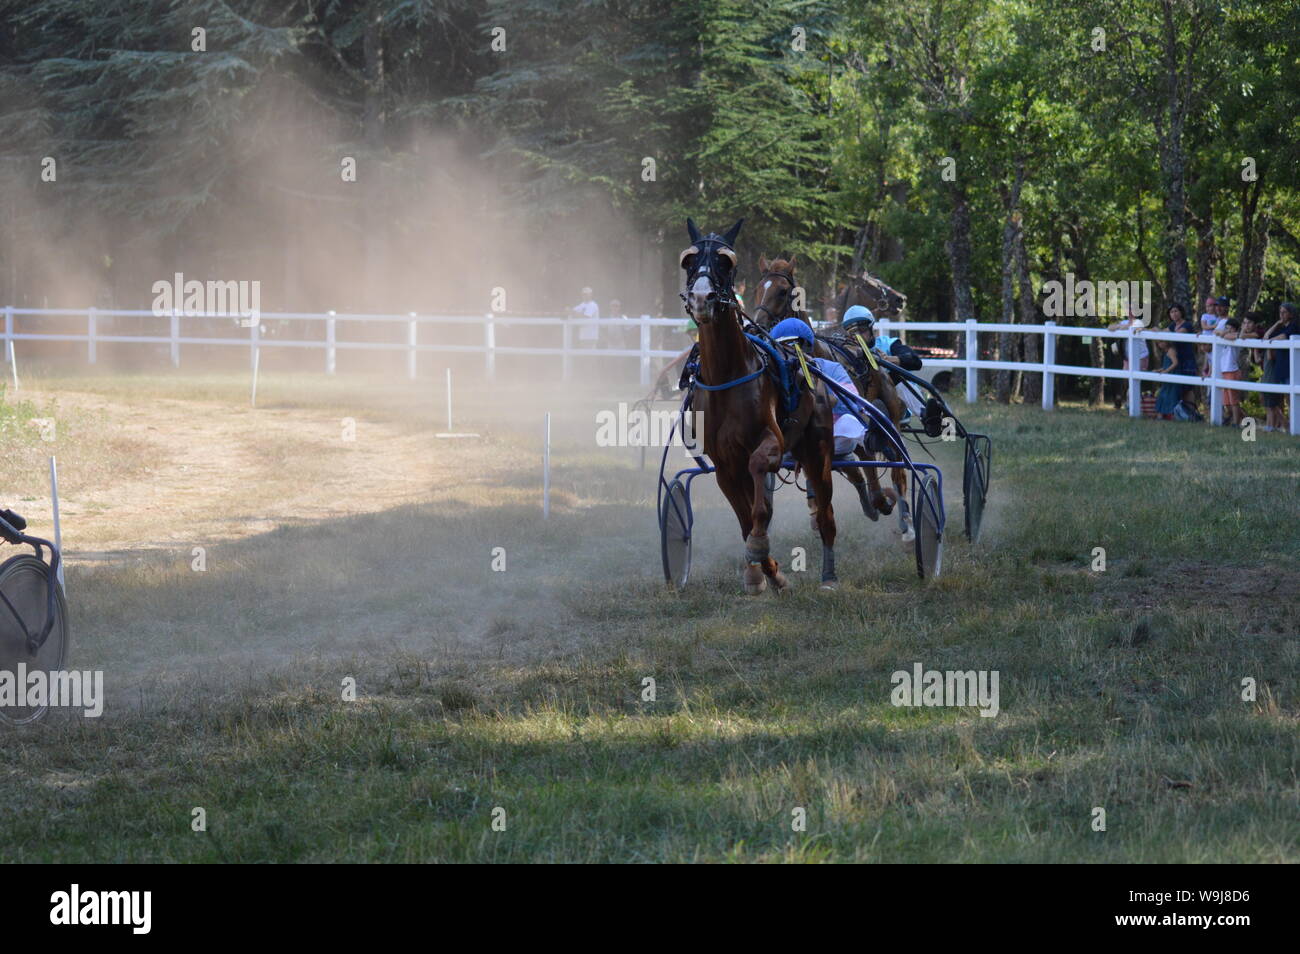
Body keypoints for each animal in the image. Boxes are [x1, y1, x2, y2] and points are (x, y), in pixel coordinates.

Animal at [680, 219, 840, 592]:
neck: (728, 374)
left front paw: (759, 552)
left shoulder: (771, 443)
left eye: (726, 262)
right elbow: (744, 518)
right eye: (688, 260)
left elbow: (759, 501)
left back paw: (829, 576)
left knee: (826, 514)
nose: (701, 297)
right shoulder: (723, 465)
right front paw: (765, 572)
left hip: (818, 451)